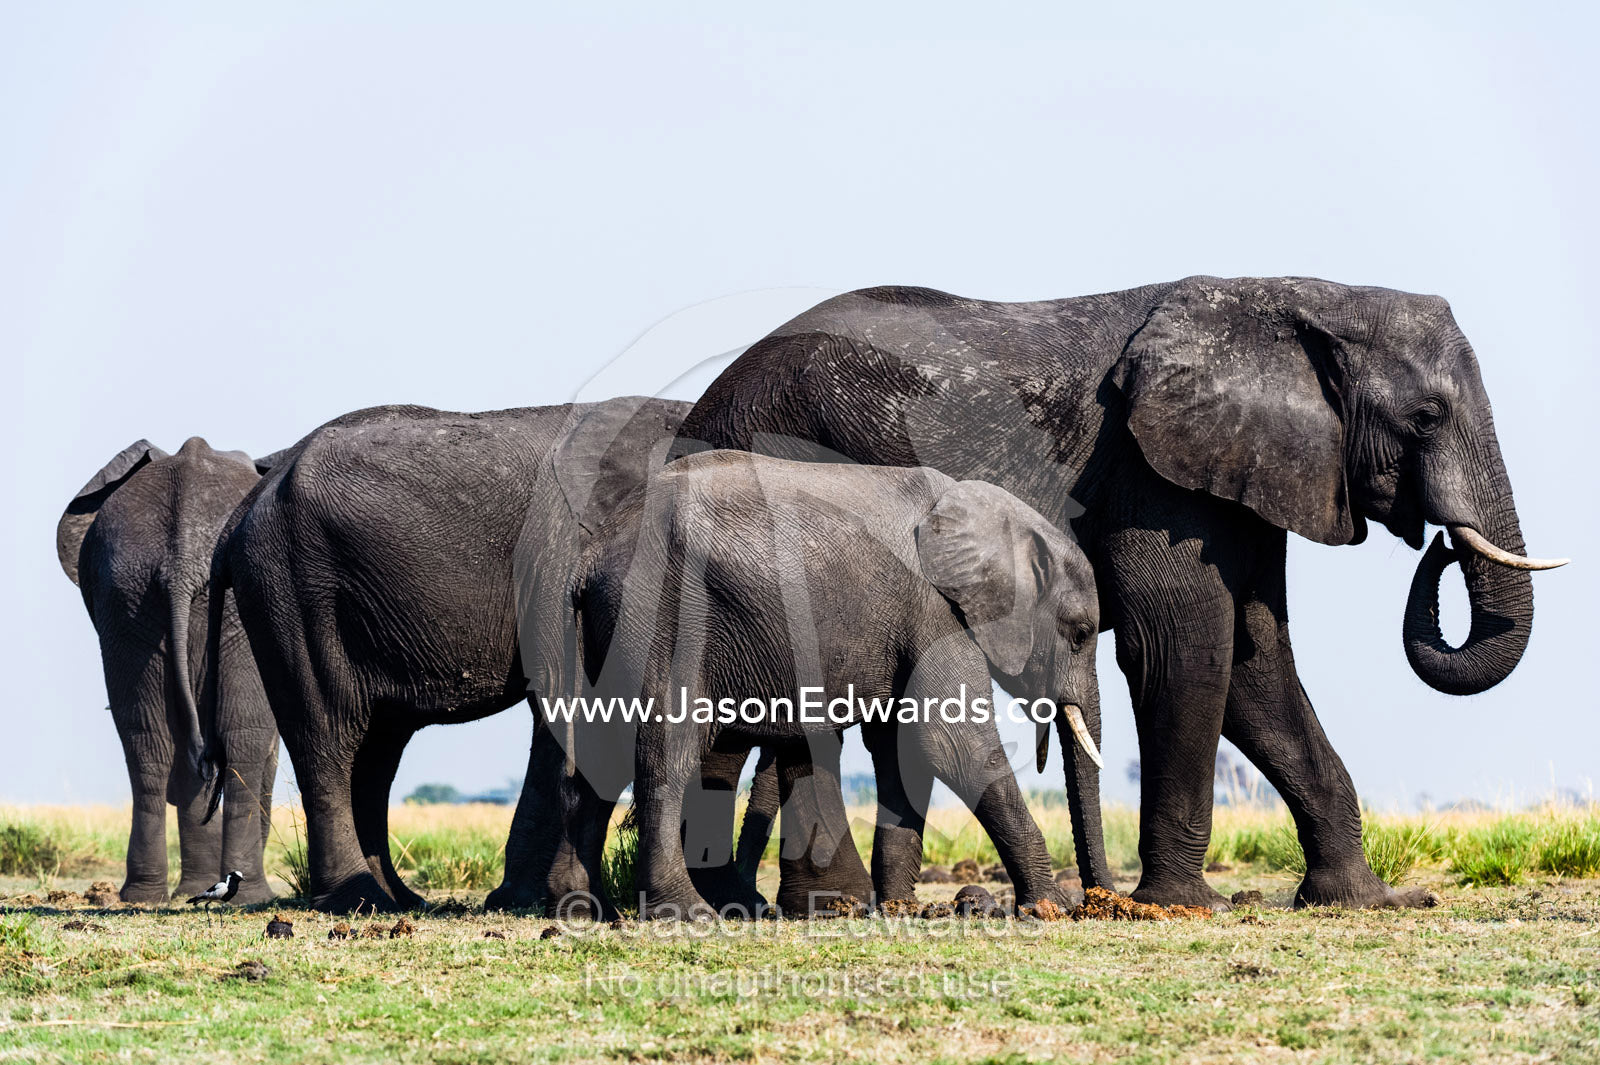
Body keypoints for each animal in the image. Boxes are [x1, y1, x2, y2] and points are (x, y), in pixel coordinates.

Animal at [57, 437, 281, 904]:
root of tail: (180, 561)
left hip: (125, 600)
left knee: (147, 742)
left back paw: (141, 896)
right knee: (243, 739)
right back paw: (254, 897)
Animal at [203, 397, 870, 915]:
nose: (757, 900)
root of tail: (243, 510)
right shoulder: (572, 560)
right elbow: (571, 704)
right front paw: (549, 902)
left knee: (378, 748)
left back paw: (398, 900)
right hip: (292, 584)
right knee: (330, 731)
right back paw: (355, 899)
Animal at [572, 450, 1111, 918]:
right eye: (1081, 633)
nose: (1101, 904)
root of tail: (589, 561)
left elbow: (903, 749)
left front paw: (901, 907)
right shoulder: (936, 611)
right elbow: (952, 742)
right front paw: (1049, 908)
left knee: (593, 758)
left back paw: (583, 909)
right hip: (663, 612)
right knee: (668, 750)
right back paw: (688, 913)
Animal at [672, 276, 1568, 911]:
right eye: (1428, 415)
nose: (1439, 542)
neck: (1302, 299)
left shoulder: (1243, 474)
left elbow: (1257, 662)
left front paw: (1365, 900)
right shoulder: (1152, 476)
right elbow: (1185, 645)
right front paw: (1186, 905)